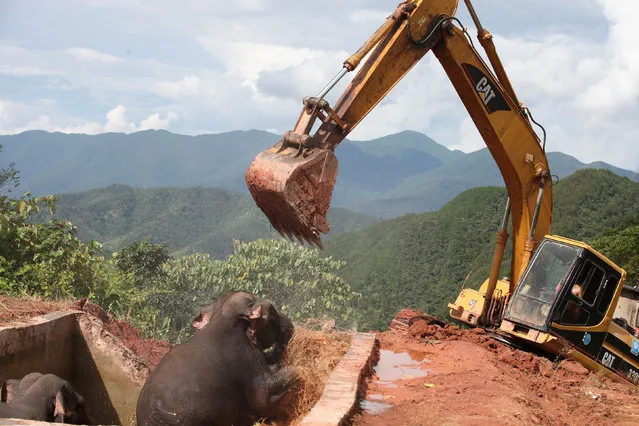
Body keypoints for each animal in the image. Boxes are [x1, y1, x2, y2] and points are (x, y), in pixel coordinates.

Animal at [136, 292, 298, 424]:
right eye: (272, 310)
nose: (289, 325)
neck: (221, 317)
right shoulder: (245, 356)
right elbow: (263, 397)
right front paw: (295, 369)